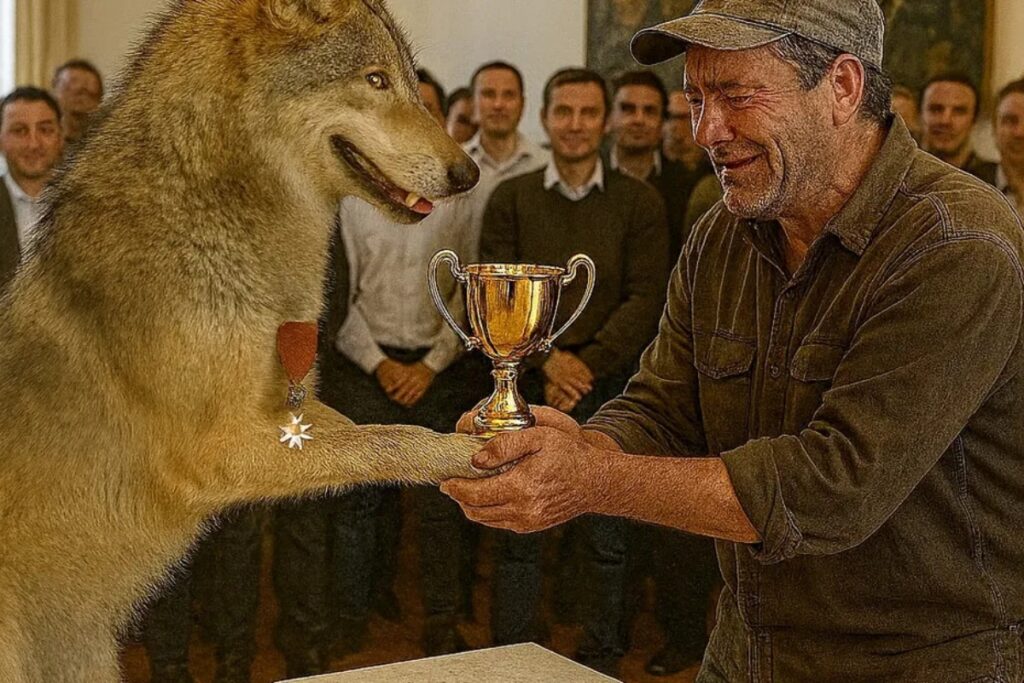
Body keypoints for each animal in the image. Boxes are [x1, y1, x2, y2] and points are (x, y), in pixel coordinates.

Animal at [0, 0, 484, 680]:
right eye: (376, 80)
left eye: (411, 83)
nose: (468, 173)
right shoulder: (222, 450)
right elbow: (394, 439)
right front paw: (469, 452)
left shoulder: (289, 409)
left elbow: (374, 433)